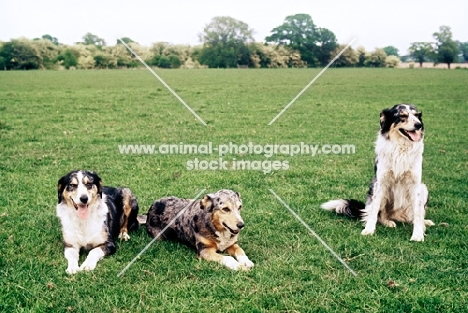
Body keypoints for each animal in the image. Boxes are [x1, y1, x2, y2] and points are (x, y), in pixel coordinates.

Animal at [322, 103, 436, 240]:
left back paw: (424, 222)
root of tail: (397, 216)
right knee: (377, 214)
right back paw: (388, 222)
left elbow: (418, 213)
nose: (419, 125)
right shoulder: (381, 183)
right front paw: (369, 230)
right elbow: (374, 210)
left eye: (417, 115)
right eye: (402, 116)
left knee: (413, 215)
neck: (401, 148)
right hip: (375, 189)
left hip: (423, 188)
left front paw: (418, 235)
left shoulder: (415, 184)